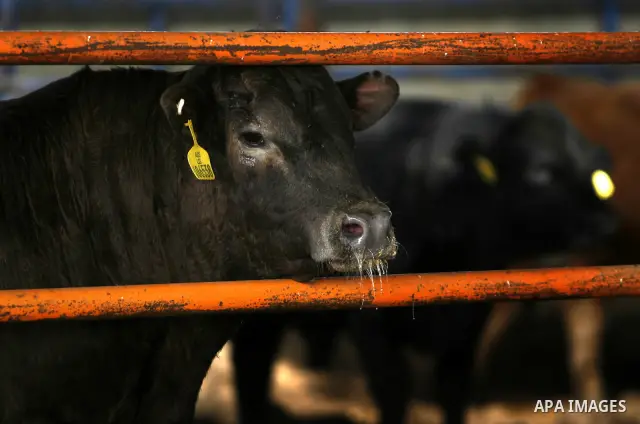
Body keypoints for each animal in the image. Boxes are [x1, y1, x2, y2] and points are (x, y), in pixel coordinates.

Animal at [231, 98, 618, 424]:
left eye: (598, 178)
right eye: (542, 173)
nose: (604, 224)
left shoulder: (468, 325)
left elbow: (453, 393)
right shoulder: (373, 328)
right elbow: (394, 393)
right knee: (251, 368)